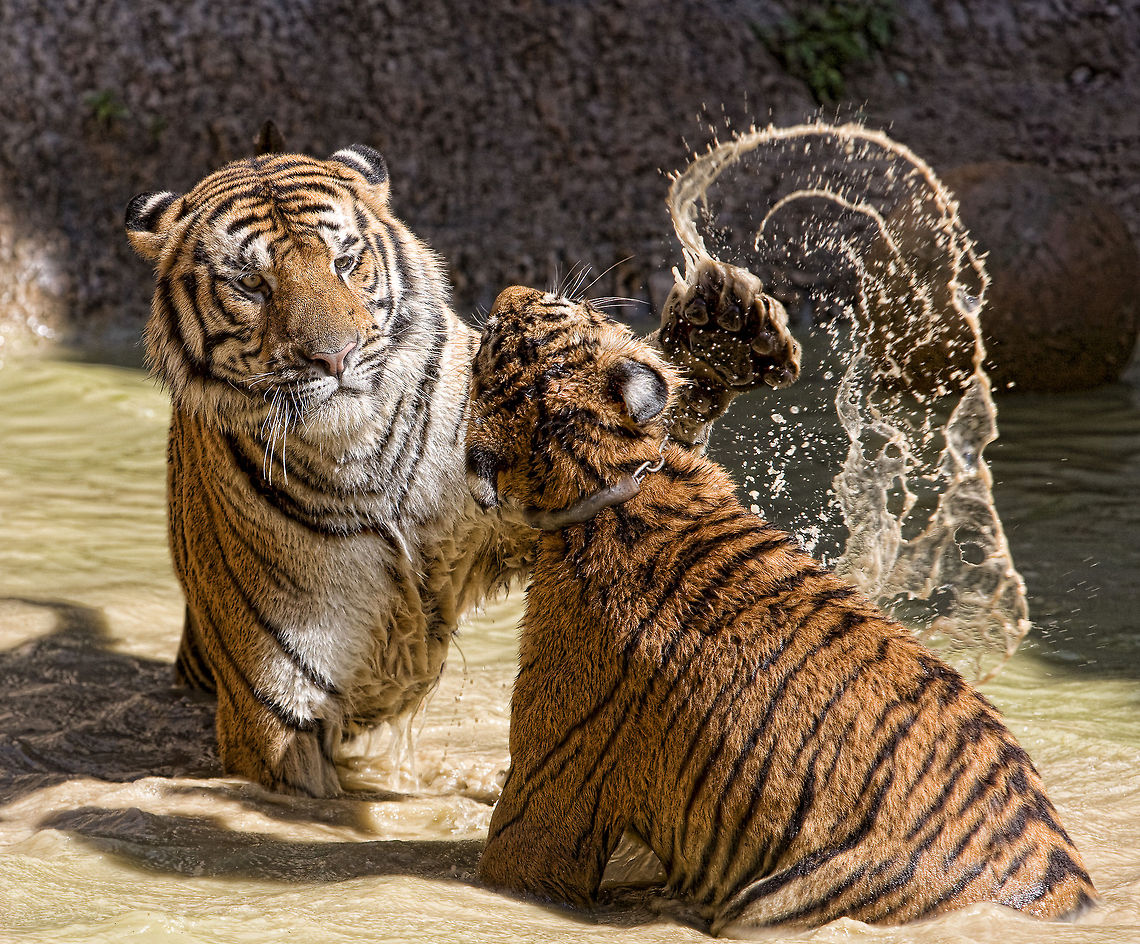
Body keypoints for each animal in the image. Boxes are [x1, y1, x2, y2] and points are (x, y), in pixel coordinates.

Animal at [124, 144, 801, 797]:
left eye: (345, 261)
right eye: (251, 283)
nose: (337, 356)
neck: (358, 453)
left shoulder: (518, 508)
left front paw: (719, 335)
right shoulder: (277, 725)